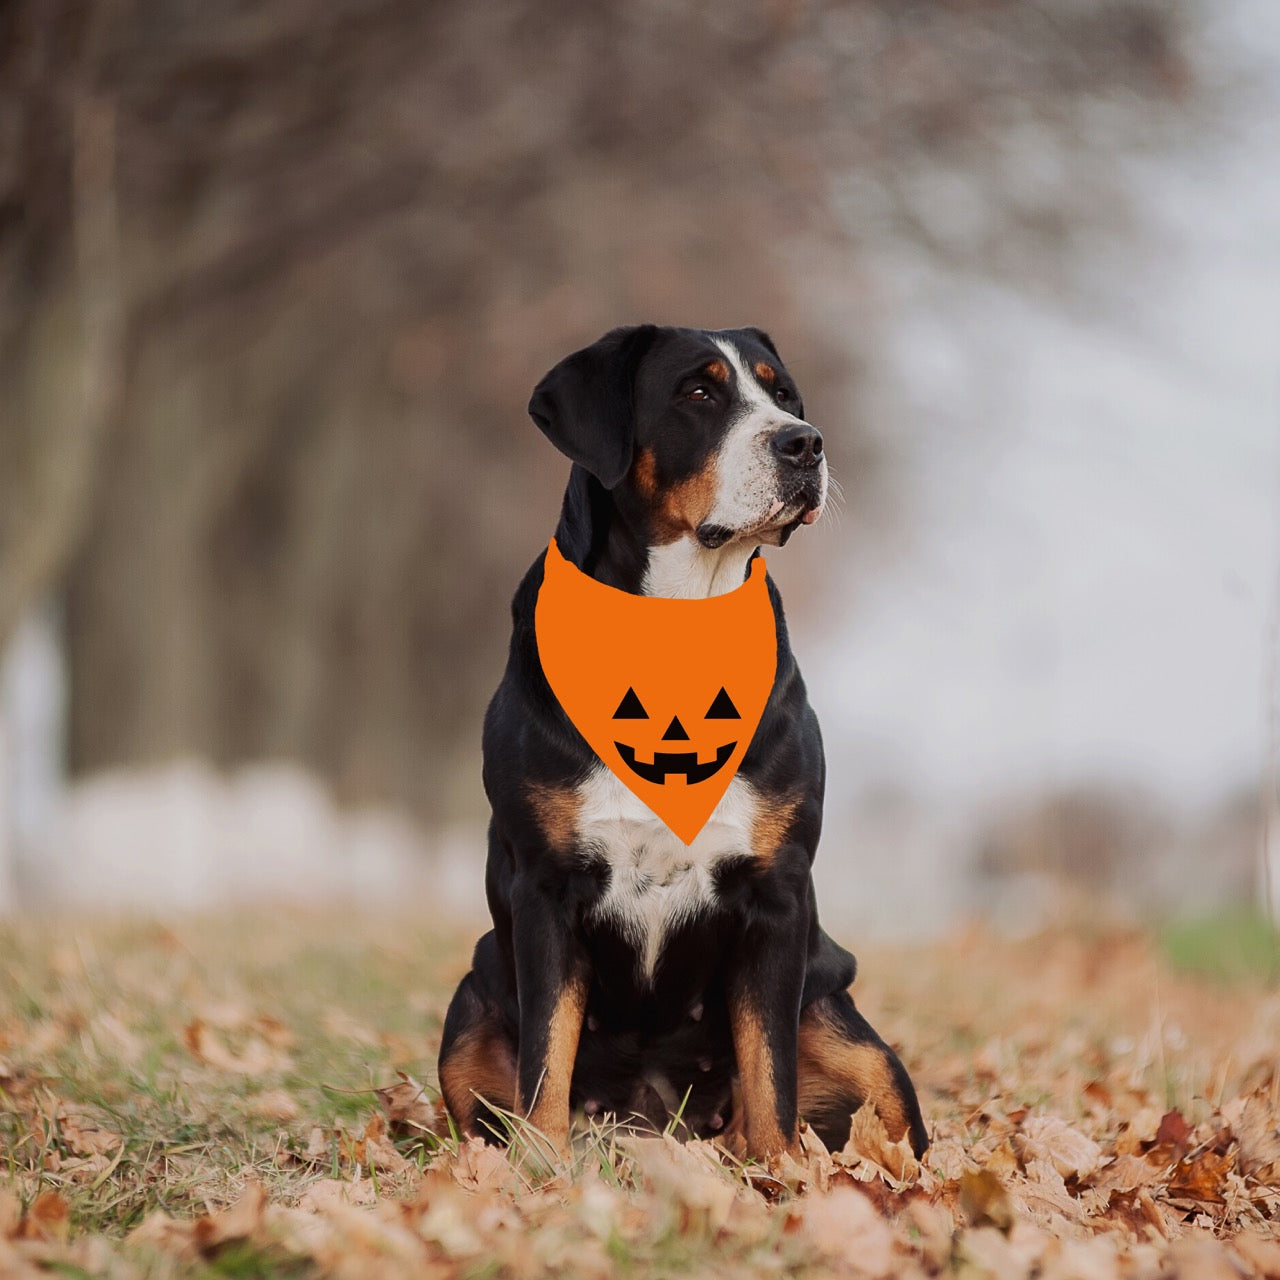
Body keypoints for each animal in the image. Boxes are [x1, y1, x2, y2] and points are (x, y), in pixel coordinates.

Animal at [435, 322, 926, 1162]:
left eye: (784, 394)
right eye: (699, 392)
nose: (805, 443)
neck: (677, 620)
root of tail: (654, 1117)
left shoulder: (777, 893)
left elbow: (770, 1071)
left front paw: (780, 1175)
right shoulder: (544, 888)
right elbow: (546, 1059)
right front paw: (542, 1170)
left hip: (846, 1024)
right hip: (472, 1000)